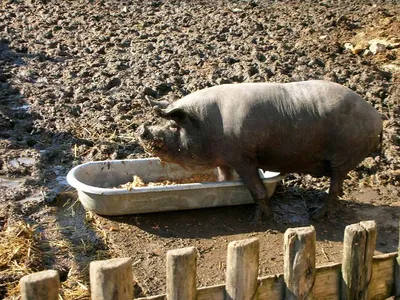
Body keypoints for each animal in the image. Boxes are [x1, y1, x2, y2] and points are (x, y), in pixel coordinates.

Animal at [136, 79, 382, 223]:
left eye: (173, 126)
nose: (141, 129)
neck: (208, 125)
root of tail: (377, 117)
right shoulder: (225, 158)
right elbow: (224, 178)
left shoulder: (244, 158)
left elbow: (258, 190)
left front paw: (255, 220)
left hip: (344, 157)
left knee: (335, 188)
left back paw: (316, 216)